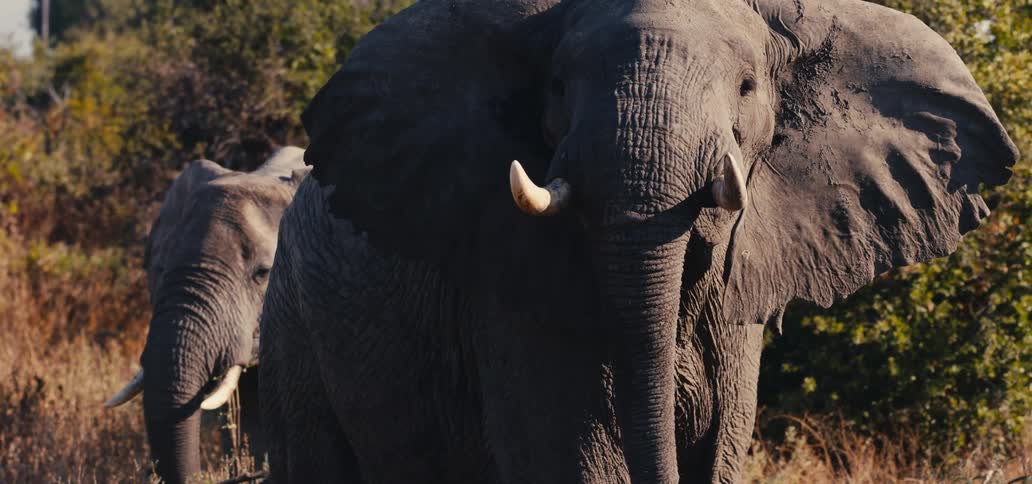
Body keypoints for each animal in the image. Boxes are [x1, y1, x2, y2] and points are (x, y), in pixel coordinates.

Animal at [259, 0, 1018, 482]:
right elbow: (574, 458)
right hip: (292, 324)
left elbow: (720, 451)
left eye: (748, 87)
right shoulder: (513, 294)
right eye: (556, 85)